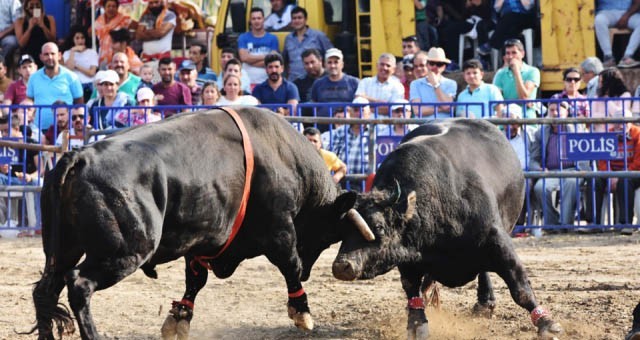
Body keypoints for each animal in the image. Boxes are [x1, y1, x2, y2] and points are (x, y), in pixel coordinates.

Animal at [332, 119, 564, 340]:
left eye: (379, 227)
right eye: (343, 229)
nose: (342, 266)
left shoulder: (497, 239)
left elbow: (520, 287)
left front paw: (546, 322)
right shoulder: (408, 257)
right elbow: (412, 290)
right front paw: (417, 324)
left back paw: (485, 303)